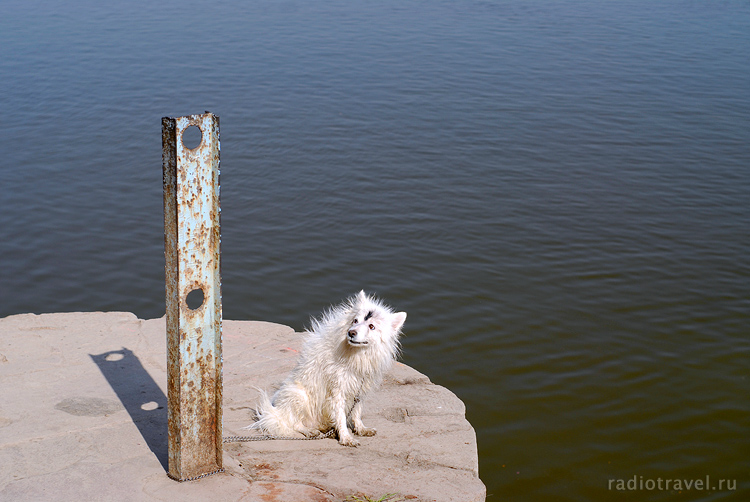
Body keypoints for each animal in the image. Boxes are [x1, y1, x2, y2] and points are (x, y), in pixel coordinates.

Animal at [250, 290, 408, 448]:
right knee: (294, 423)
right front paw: (346, 438)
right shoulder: (337, 390)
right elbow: (341, 417)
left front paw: (361, 429)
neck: (356, 354)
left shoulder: (360, 389)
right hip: (298, 396)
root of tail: (276, 413)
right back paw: (310, 431)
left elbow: (357, 412)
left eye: (371, 326)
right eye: (355, 321)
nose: (351, 333)